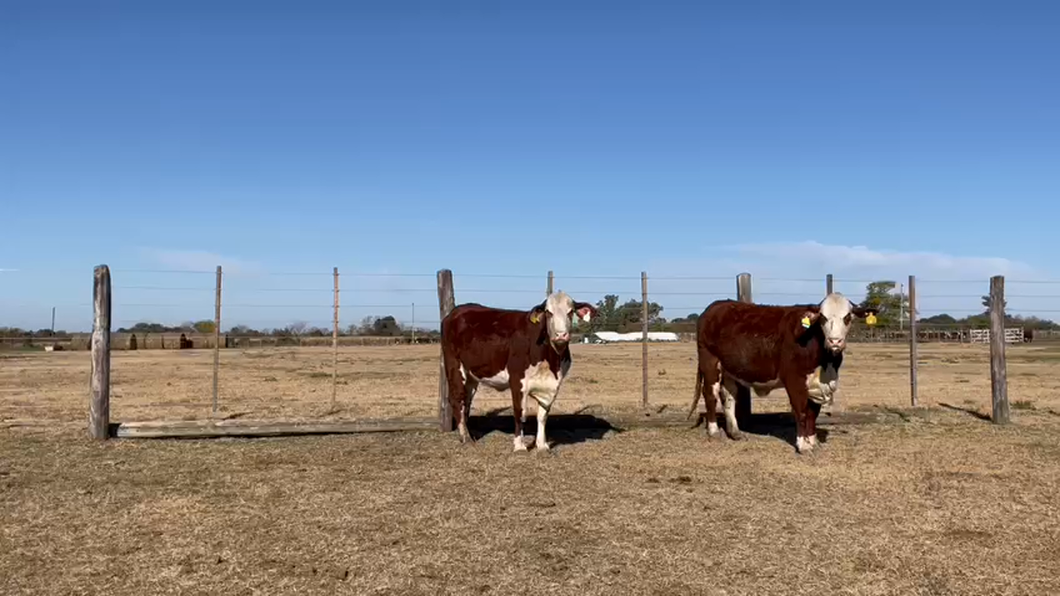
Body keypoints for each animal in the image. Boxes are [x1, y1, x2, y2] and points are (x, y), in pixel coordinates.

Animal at [436, 288, 597, 449]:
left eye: (570, 312)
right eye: (548, 312)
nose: (561, 335)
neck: (552, 361)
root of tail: (455, 312)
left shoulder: (550, 386)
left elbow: (542, 416)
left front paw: (541, 445)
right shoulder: (517, 380)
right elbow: (520, 413)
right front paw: (519, 446)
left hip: (471, 375)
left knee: (467, 402)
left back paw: (471, 434)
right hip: (454, 367)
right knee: (457, 399)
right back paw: (465, 437)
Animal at [686, 290, 877, 449]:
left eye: (848, 316)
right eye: (822, 317)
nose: (835, 341)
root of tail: (715, 306)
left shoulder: (816, 384)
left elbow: (813, 413)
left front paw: (813, 441)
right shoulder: (794, 378)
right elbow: (801, 411)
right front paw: (803, 445)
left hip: (729, 369)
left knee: (728, 396)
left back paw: (735, 432)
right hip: (709, 361)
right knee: (710, 395)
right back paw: (713, 431)